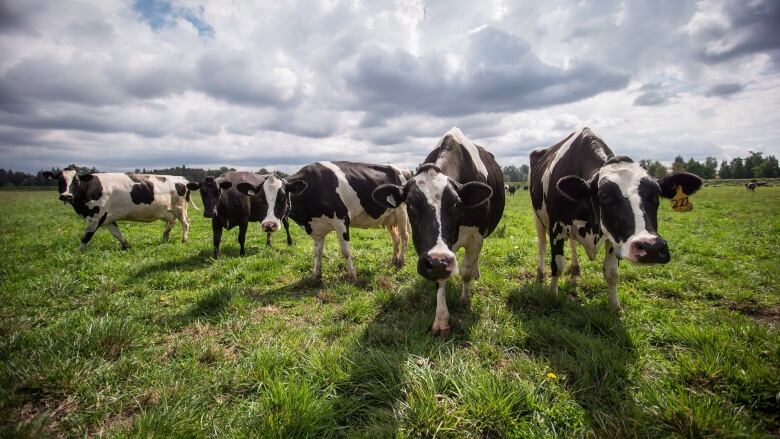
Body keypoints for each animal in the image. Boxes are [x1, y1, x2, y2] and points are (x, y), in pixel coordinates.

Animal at [44, 167, 195, 251]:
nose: (66, 195)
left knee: (185, 223)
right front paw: (126, 246)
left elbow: (85, 237)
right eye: (60, 180)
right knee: (172, 221)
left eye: (76, 180)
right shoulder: (107, 218)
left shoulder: (94, 218)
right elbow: (117, 233)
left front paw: (77, 254)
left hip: (180, 208)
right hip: (166, 211)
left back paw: (184, 240)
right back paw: (165, 235)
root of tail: (181, 179)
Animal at [235, 162, 412, 282]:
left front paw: (352, 275)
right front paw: (316, 274)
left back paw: (401, 261)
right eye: (259, 199)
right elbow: (317, 252)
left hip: (402, 212)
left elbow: (345, 251)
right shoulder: (317, 228)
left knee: (404, 237)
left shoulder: (342, 221)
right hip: (389, 217)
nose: (269, 225)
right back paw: (394, 260)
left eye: (283, 197)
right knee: (395, 238)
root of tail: (404, 169)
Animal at [374, 127, 506, 336]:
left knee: (473, 261)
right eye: (410, 204)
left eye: (456, 203)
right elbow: (440, 282)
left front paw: (465, 300)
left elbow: (466, 271)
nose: (437, 262)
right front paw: (441, 320)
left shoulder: (476, 236)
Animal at [528, 128, 704, 310]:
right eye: (604, 196)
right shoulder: (556, 228)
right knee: (542, 245)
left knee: (573, 244)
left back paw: (576, 270)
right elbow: (558, 265)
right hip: (537, 217)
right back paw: (540, 274)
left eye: (656, 195)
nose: (651, 248)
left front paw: (614, 306)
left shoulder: (613, 236)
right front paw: (552, 296)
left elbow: (612, 273)